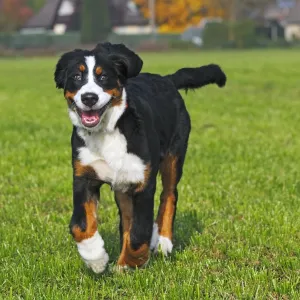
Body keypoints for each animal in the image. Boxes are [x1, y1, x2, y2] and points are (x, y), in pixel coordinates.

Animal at [54, 42, 227, 274]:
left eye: (103, 76)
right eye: (76, 76)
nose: (89, 98)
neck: (108, 131)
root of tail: (166, 79)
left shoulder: (143, 182)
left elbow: (139, 232)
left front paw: (130, 263)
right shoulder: (84, 176)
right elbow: (80, 225)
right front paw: (95, 257)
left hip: (173, 155)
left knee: (169, 195)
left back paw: (162, 242)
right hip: (123, 186)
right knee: (128, 218)